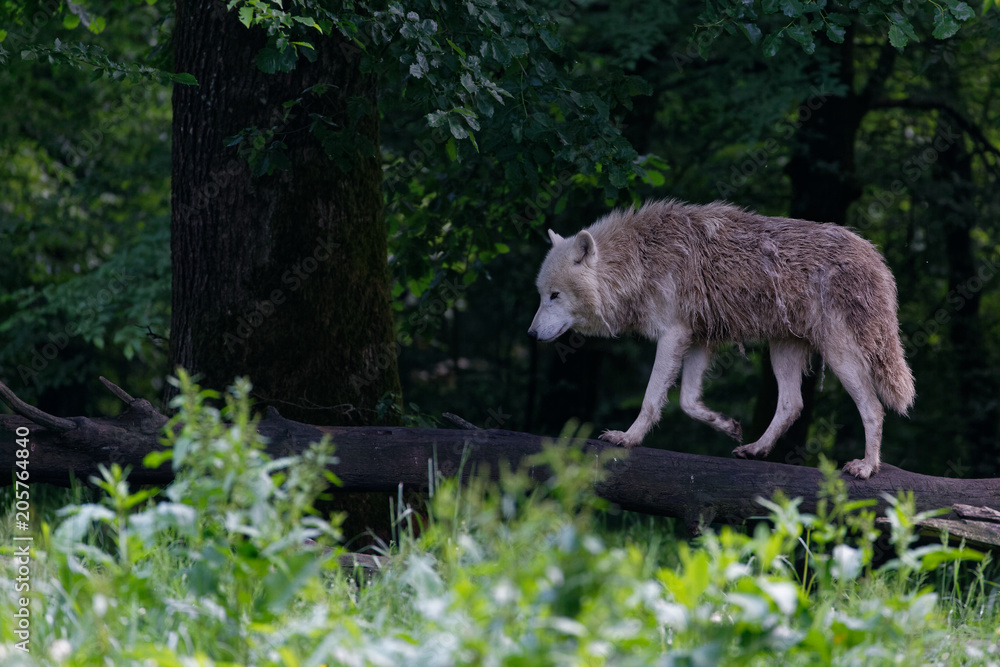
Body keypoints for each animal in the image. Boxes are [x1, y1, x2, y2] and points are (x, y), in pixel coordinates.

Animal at [527, 199, 914, 479]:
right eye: (542, 295)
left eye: (555, 296)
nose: (530, 334)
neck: (639, 260)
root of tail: (877, 260)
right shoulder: (699, 340)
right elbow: (687, 402)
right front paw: (727, 425)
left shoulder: (673, 334)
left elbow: (652, 399)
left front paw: (628, 438)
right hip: (782, 350)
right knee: (792, 404)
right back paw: (756, 449)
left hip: (839, 354)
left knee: (873, 408)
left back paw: (866, 467)